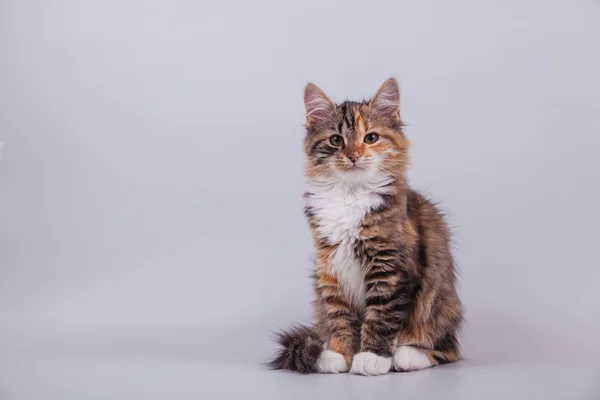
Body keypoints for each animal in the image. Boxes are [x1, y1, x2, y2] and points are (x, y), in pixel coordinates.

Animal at [268, 77, 464, 376]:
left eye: (370, 138)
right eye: (336, 140)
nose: (354, 155)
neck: (350, 194)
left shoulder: (389, 266)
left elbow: (381, 316)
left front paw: (372, 357)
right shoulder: (330, 267)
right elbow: (339, 315)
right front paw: (339, 354)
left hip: (437, 303)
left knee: (448, 349)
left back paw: (407, 355)